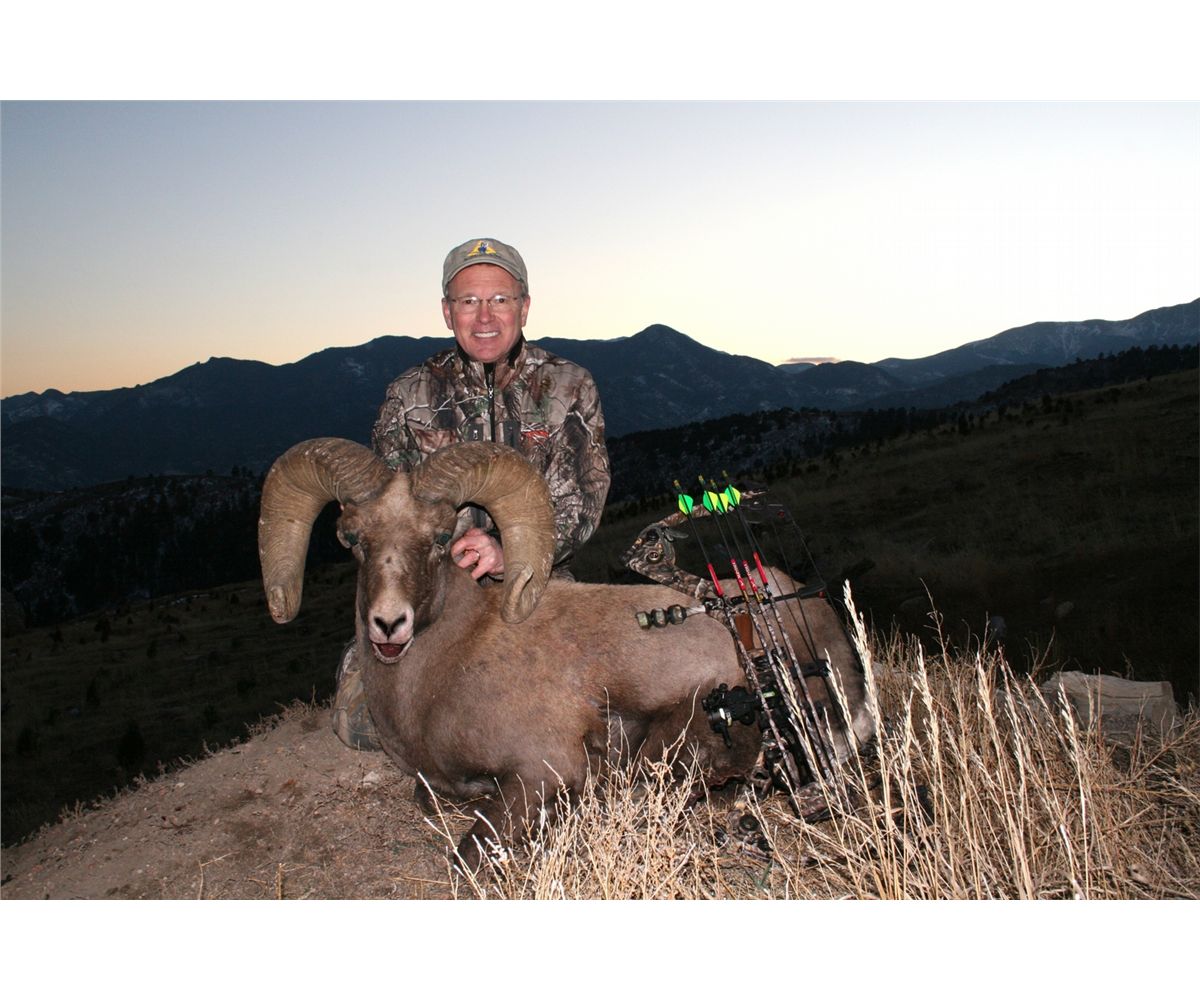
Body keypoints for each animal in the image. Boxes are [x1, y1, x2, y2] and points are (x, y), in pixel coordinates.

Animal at [258, 438, 872, 870]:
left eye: (439, 539)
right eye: (352, 538)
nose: (389, 624)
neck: (435, 678)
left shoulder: (542, 771)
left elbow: (468, 857)